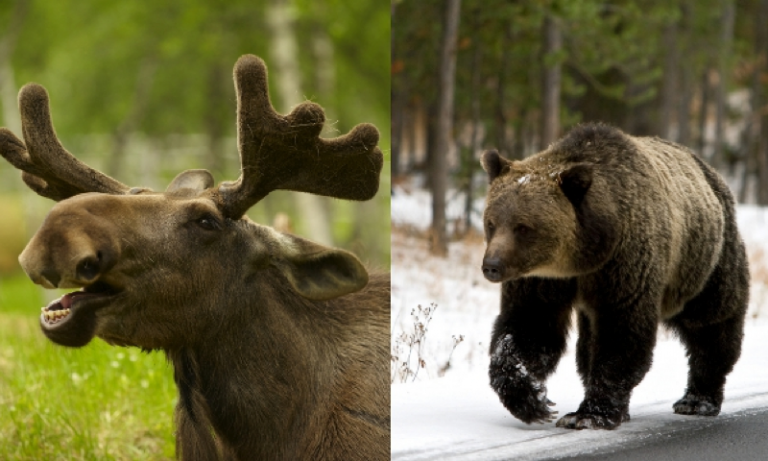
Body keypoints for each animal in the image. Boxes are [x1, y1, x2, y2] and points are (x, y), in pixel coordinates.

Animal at [484, 121, 748, 428]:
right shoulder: (542, 279)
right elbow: (529, 326)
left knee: (712, 322)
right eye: (491, 222)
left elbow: (621, 332)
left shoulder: (624, 263)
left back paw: (697, 399)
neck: (583, 258)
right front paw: (533, 400)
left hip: (703, 261)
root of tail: (712, 173)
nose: (492, 265)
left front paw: (589, 414)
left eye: (523, 227)